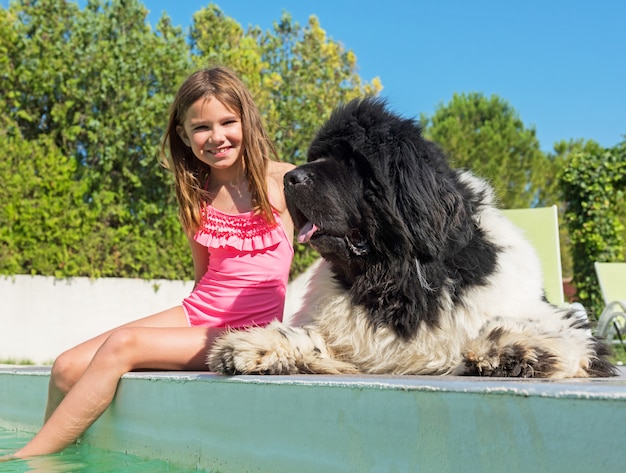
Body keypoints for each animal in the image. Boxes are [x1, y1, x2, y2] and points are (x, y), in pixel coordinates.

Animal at [207, 97, 612, 378]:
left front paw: (513, 348)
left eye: (353, 162)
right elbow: (312, 339)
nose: (290, 178)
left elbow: (554, 332)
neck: (397, 279)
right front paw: (253, 344)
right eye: (317, 156)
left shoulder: (558, 318)